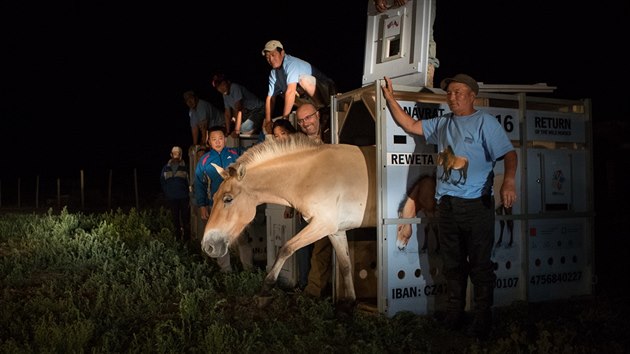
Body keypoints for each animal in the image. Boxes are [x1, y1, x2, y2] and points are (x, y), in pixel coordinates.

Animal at [201, 133, 376, 306]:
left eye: (228, 199)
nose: (207, 246)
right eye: (214, 197)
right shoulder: (335, 231)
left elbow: (286, 248)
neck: (309, 174)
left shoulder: (322, 225)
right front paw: (350, 304)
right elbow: (345, 265)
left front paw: (266, 289)